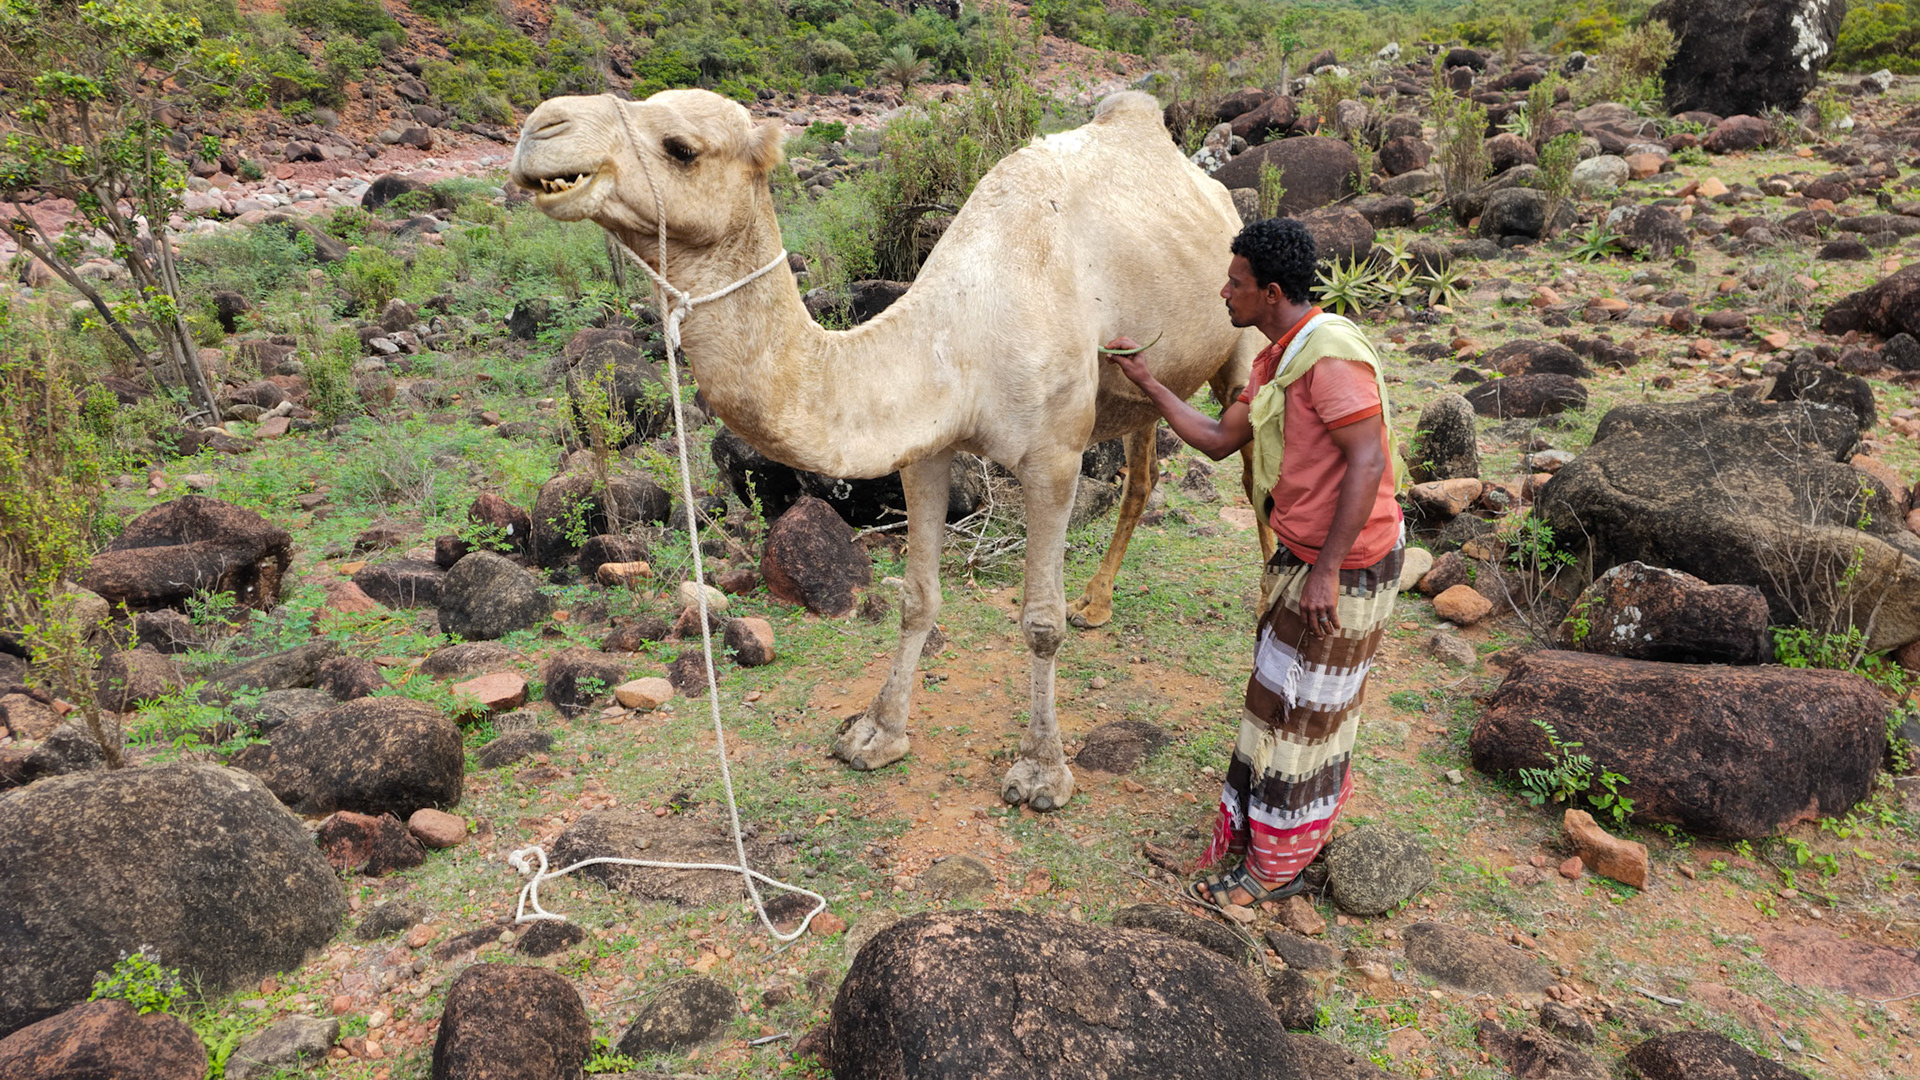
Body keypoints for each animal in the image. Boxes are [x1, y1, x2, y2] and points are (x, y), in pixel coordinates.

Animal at [511, 88, 1271, 809]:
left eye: (682, 147)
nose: (542, 128)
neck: (961, 334)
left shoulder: (1053, 455)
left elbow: (1038, 623)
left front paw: (1041, 771)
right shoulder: (925, 450)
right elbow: (917, 600)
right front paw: (876, 733)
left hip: (1244, 342)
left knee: (1254, 472)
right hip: (1142, 385)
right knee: (1143, 471)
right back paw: (1098, 602)